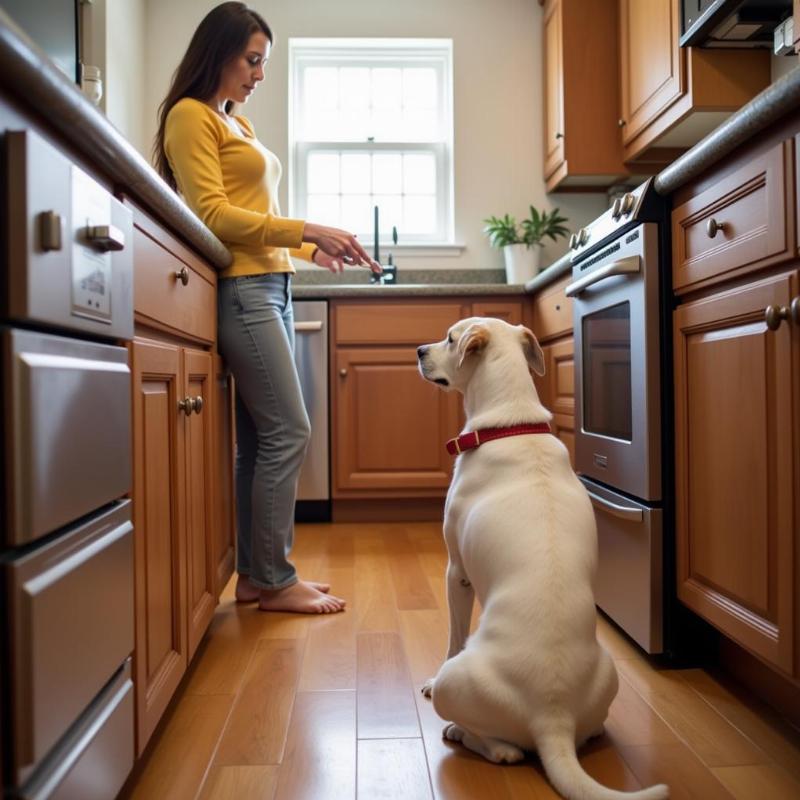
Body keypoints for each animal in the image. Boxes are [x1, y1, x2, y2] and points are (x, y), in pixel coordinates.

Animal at [418, 318, 668, 800]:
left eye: (451, 338)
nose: (418, 350)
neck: (511, 425)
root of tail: (553, 719)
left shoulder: (456, 573)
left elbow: (452, 635)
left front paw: (429, 677)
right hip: (609, 674)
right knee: (586, 730)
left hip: (459, 685)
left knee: (503, 749)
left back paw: (461, 732)